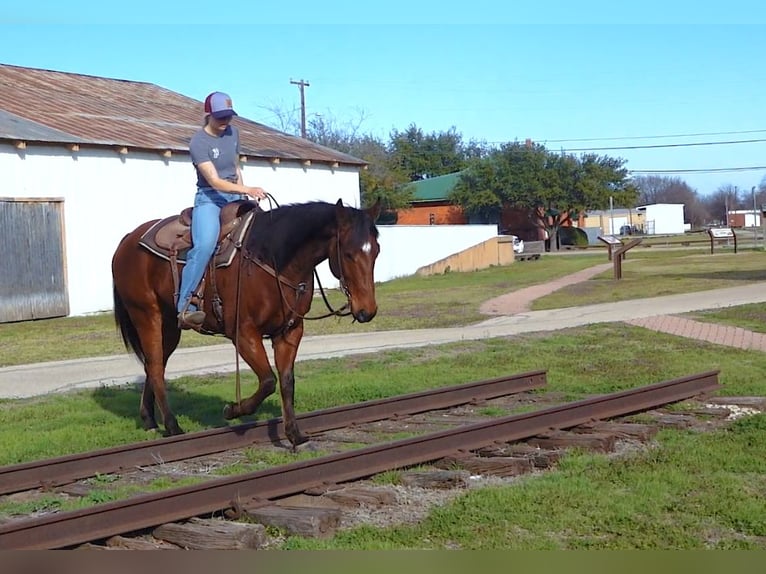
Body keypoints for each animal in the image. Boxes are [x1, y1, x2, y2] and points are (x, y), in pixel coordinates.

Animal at [111, 200, 380, 448]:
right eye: (348, 253)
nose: (367, 311)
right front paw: (233, 410)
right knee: (156, 367)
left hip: (168, 324)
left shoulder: (290, 332)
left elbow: (286, 382)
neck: (272, 258)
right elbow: (269, 381)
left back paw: (149, 420)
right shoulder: (243, 333)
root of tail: (127, 240)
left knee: (153, 363)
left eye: (376, 251)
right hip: (147, 315)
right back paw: (172, 425)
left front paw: (295, 435)